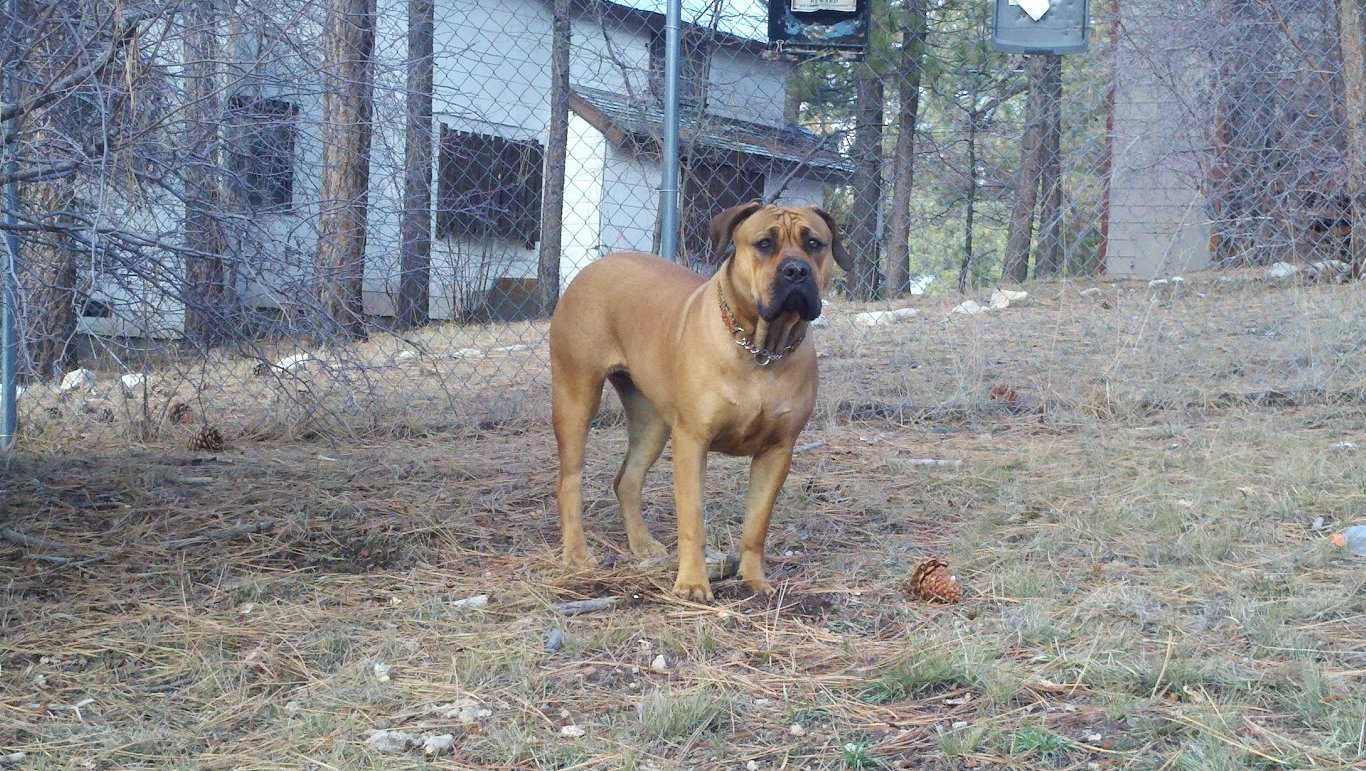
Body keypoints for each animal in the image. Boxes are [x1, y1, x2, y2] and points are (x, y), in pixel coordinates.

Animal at [546, 202, 846, 598]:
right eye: (764, 244)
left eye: (814, 243)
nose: (796, 270)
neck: (762, 349)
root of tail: (592, 268)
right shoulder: (692, 441)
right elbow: (692, 520)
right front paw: (691, 583)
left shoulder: (778, 450)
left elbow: (757, 523)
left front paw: (754, 580)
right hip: (576, 397)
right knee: (569, 481)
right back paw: (577, 554)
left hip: (652, 422)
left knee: (627, 480)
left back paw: (642, 545)